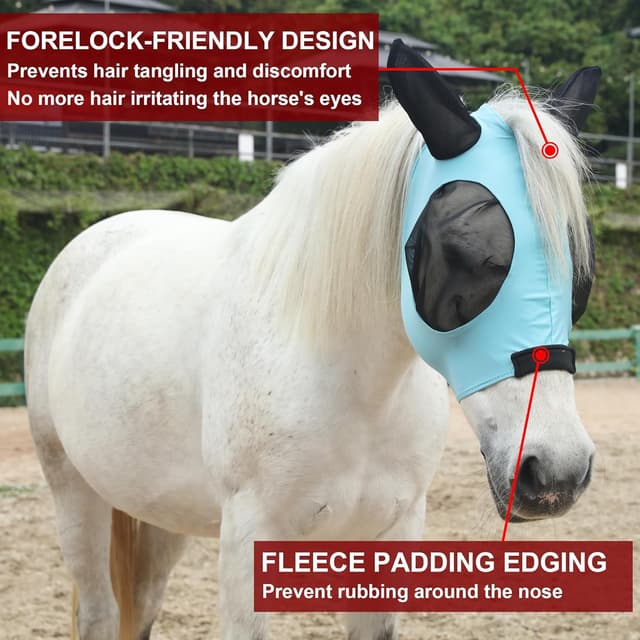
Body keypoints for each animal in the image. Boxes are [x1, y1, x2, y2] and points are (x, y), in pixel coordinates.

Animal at [25, 40, 600, 640]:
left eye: (579, 268)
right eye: (460, 251)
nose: (556, 470)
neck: (354, 385)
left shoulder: (389, 534)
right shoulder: (246, 542)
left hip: (157, 512)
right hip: (74, 494)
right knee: (99, 611)